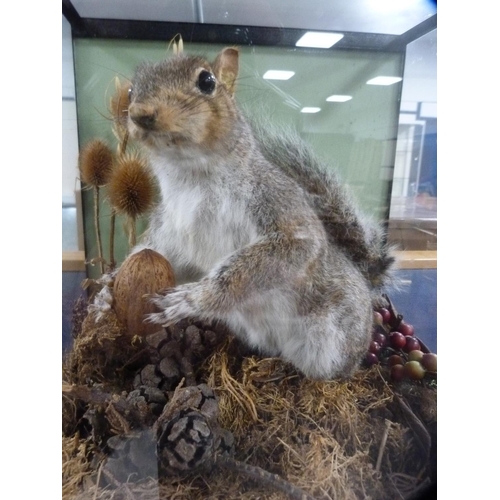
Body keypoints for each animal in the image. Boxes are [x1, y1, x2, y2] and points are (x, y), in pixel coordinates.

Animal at [94, 47, 394, 378]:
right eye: (131, 91)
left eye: (207, 81)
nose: (141, 113)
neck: (189, 177)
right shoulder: (170, 231)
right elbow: (158, 255)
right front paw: (107, 290)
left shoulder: (277, 203)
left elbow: (281, 254)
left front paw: (193, 299)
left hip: (334, 337)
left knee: (330, 371)